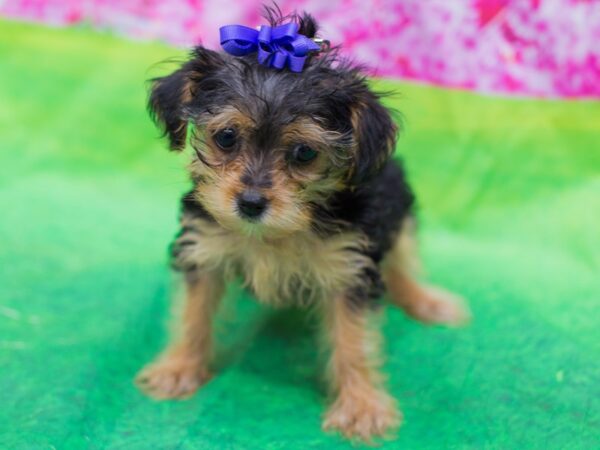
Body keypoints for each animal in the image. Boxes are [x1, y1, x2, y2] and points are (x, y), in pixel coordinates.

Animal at [138, 8, 472, 442]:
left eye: (304, 153)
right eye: (226, 137)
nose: (250, 204)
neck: (277, 234)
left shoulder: (349, 267)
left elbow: (353, 339)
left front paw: (361, 406)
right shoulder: (204, 246)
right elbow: (193, 312)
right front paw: (178, 368)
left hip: (396, 201)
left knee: (402, 258)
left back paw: (429, 301)